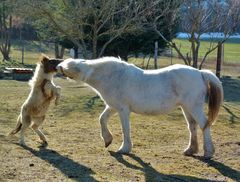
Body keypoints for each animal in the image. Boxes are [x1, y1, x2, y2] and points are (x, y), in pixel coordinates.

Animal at [56, 57, 223, 158]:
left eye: (70, 66)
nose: (58, 67)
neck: (113, 76)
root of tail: (200, 73)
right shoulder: (113, 107)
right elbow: (102, 119)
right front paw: (107, 140)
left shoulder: (123, 109)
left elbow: (125, 128)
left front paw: (124, 148)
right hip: (186, 108)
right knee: (192, 126)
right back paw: (190, 150)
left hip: (193, 107)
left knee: (204, 125)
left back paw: (208, 152)